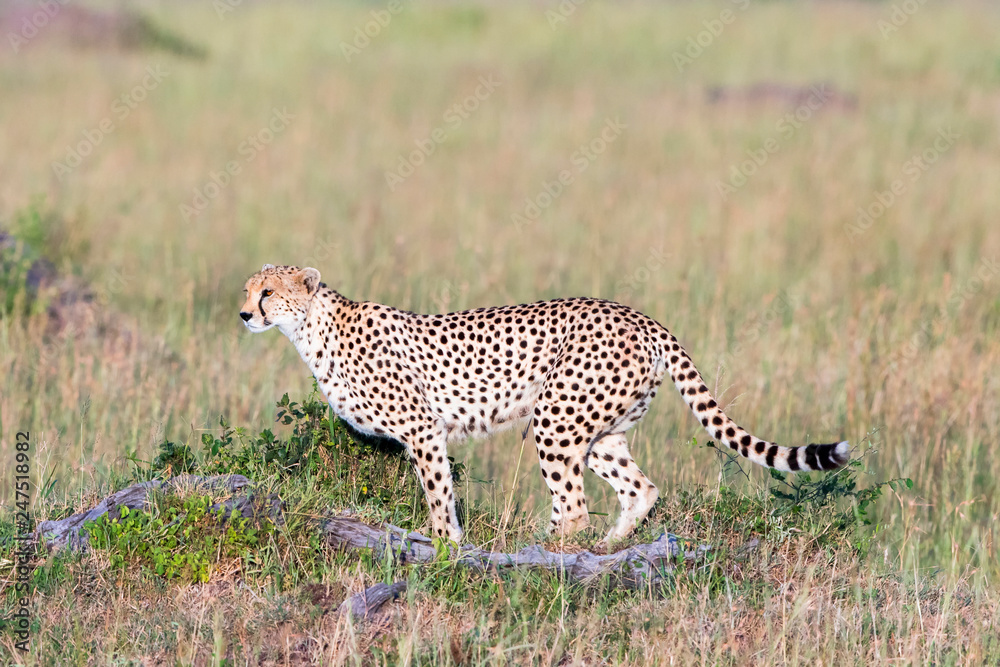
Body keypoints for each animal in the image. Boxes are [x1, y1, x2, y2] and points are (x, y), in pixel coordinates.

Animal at [240, 264, 849, 549]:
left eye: (268, 292)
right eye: (248, 290)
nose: (245, 315)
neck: (313, 329)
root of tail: (640, 315)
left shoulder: (423, 429)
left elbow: (438, 495)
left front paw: (446, 546)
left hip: (555, 419)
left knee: (575, 508)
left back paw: (548, 548)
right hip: (595, 429)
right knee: (640, 489)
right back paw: (603, 547)